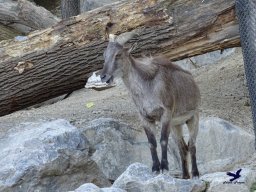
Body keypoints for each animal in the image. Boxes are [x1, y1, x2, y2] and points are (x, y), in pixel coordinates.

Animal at [101, 29, 201, 178]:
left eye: (118, 54)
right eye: (104, 55)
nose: (103, 76)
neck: (147, 87)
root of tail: (194, 83)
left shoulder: (166, 113)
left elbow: (163, 140)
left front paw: (164, 168)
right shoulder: (145, 118)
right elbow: (151, 143)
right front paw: (155, 168)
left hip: (193, 117)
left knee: (192, 145)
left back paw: (195, 173)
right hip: (176, 125)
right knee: (182, 147)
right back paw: (185, 176)